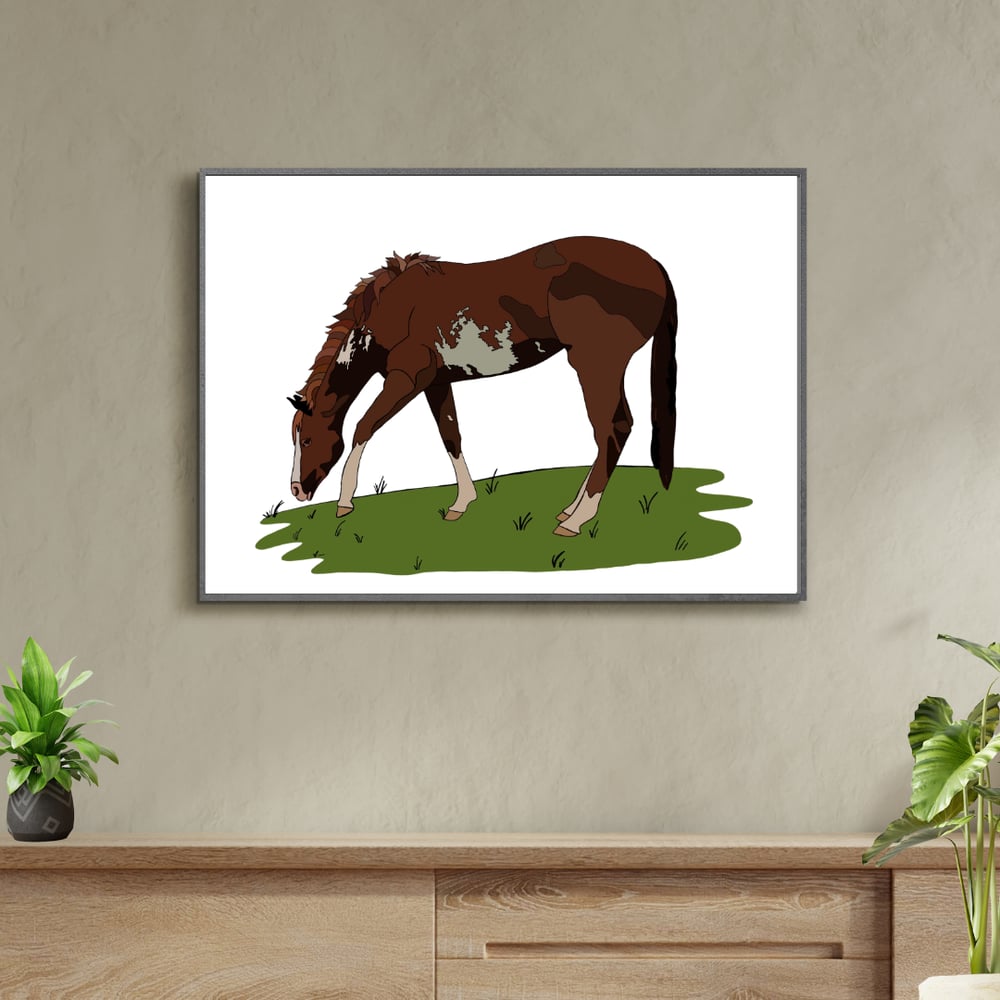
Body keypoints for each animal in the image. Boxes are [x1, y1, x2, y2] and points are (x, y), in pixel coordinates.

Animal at [288, 236, 677, 537]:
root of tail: (653, 265)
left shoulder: (406, 380)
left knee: (612, 428)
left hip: (597, 363)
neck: (392, 309)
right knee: (610, 432)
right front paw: (461, 504)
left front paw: (344, 502)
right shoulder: (436, 383)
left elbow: (363, 427)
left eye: (305, 440)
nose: (296, 490)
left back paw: (577, 520)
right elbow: (451, 436)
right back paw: (569, 510)